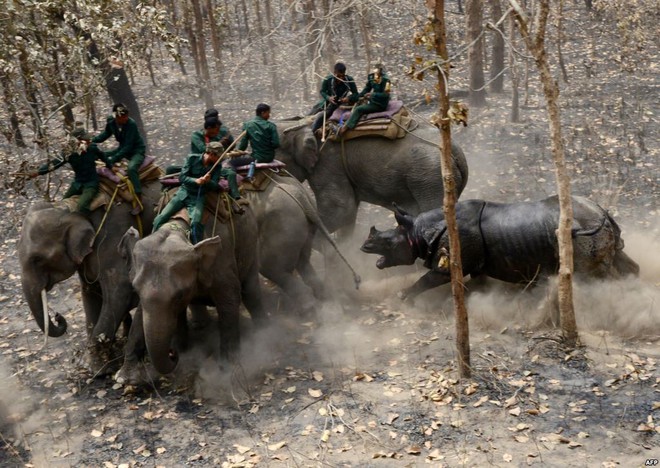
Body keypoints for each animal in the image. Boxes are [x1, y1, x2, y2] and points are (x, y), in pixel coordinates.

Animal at [17, 181, 162, 374]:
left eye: (38, 259)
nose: (57, 316)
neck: (71, 209)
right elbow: (91, 293)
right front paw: (92, 366)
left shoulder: (114, 236)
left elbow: (120, 290)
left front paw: (95, 370)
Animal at [117, 199, 266, 378]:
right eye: (135, 289)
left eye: (179, 296)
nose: (172, 353)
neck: (177, 228)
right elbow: (141, 311)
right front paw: (125, 377)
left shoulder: (222, 260)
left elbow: (230, 300)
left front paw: (228, 370)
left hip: (250, 243)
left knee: (250, 292)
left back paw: (265, 333)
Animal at [360, 195, 640, 302]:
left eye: (388, 242)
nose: (364, 246)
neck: (418, 230)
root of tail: (602, 212)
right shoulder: (476, 262)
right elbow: (478, 284)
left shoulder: (451, 261)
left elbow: (429, 279)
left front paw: (402, 298)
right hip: (598, 228)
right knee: (621, 261)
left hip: (583, 234)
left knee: (592, 276)